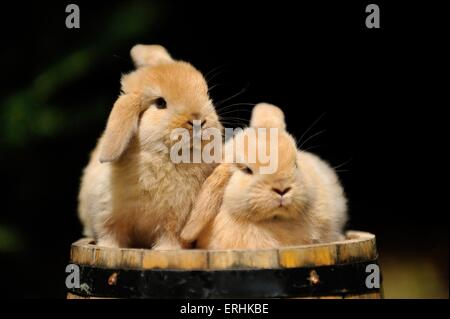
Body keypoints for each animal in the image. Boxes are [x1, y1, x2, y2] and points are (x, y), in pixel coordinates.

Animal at [80, 45, 224, 250]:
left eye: (206, 94)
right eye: (160, 103)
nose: (198, 120)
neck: (165, 158)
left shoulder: (175, 220)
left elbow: (169, 237)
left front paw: (167, 250)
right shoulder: (108, 213)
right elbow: (111, 232)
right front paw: (107, 248)